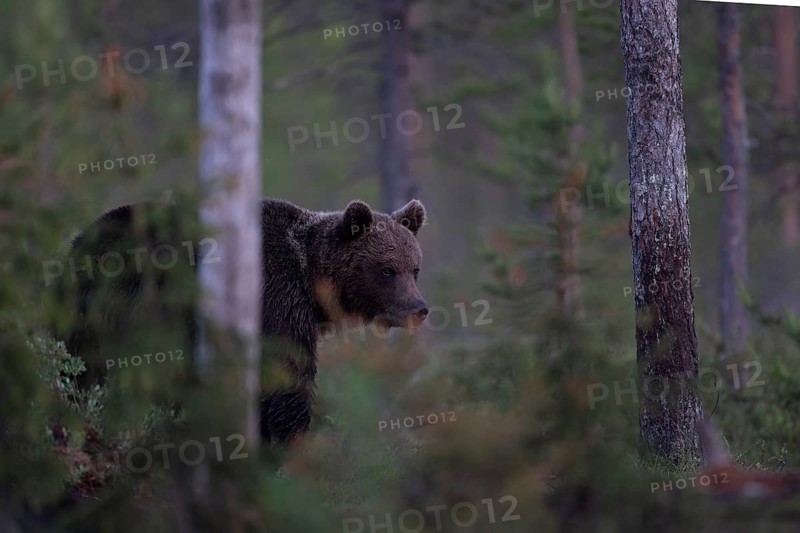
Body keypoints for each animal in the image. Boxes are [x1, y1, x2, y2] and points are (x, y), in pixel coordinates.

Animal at [53, 197, 429, 445]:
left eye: (415, 268)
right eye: (387, 270)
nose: (419, 308)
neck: (310, 277)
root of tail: (80, 245)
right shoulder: (276, 297)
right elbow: (288, 375)